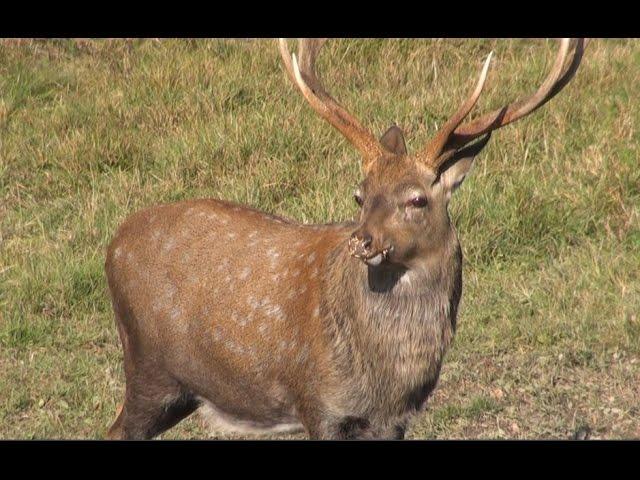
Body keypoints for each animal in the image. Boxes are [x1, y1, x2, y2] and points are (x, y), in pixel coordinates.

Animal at [105, 40, 584, 438]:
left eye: (417, 199)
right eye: (360, 194)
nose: (363, 242)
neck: (386, 379)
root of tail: (112, 244)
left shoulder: (395, 419)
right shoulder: (320, 401)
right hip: (148, 367)